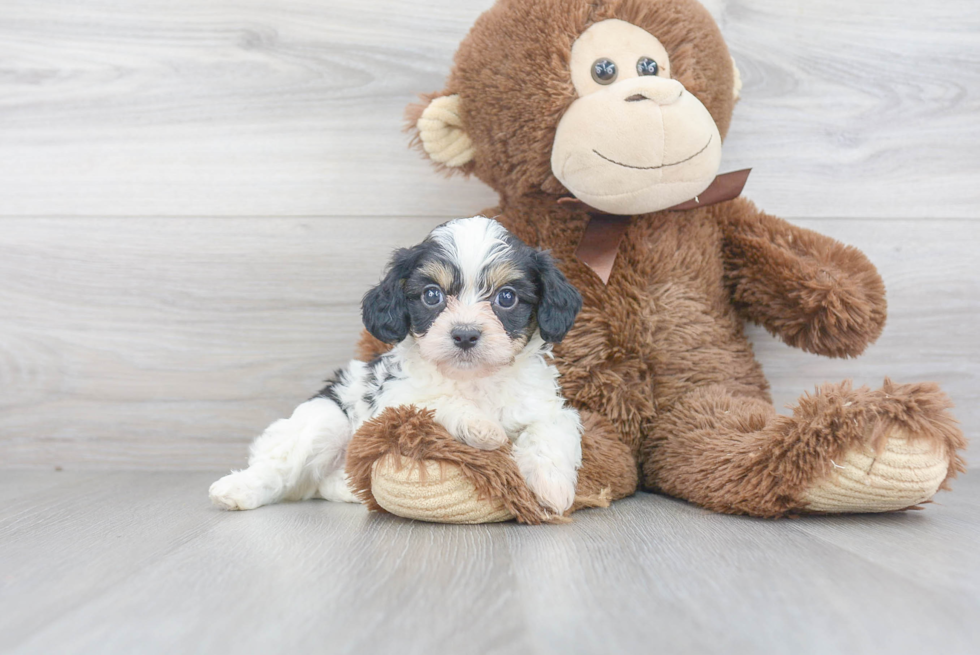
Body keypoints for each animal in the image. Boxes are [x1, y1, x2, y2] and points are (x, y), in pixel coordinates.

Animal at [208, 219, 584, 516]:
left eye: (506, 297)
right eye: (431, 295)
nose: (464, 334)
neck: (473, 380)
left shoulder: (547, 408)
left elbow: (549, 431)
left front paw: (551, 487)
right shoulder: (396, 404)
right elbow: (438, 402)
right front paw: (480, 427)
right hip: (324, 419)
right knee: (278, 467)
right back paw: (237, 489)